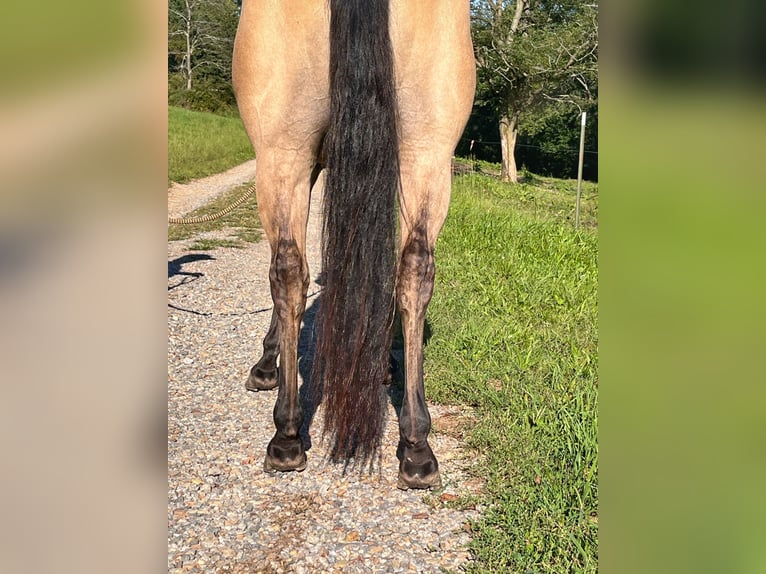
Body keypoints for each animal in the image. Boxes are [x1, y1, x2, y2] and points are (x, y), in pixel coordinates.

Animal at [232, 0, 475, 490]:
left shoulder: (305, 164)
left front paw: (267, 364)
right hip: (428, 153)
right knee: (415, 269)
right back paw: (417, 445)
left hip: (283, 153)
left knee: (287, 269)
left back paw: (286, 435)